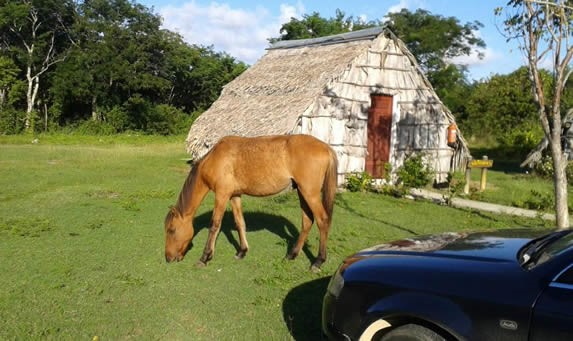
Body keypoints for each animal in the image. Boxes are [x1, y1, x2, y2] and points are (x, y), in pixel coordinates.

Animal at [163, 133, 338, 270]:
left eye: (172, 230)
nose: (168, 258)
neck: (215, 158)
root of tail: (326, 148)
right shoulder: (234, 196)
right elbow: (240, 222)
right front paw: (242, 251)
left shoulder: (221, 195)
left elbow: (214, 225)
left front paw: (204, 257)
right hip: (302, 192)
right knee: (307, 221)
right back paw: (292, 254)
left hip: (310, 193)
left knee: (322, 220)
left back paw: (318, 261)